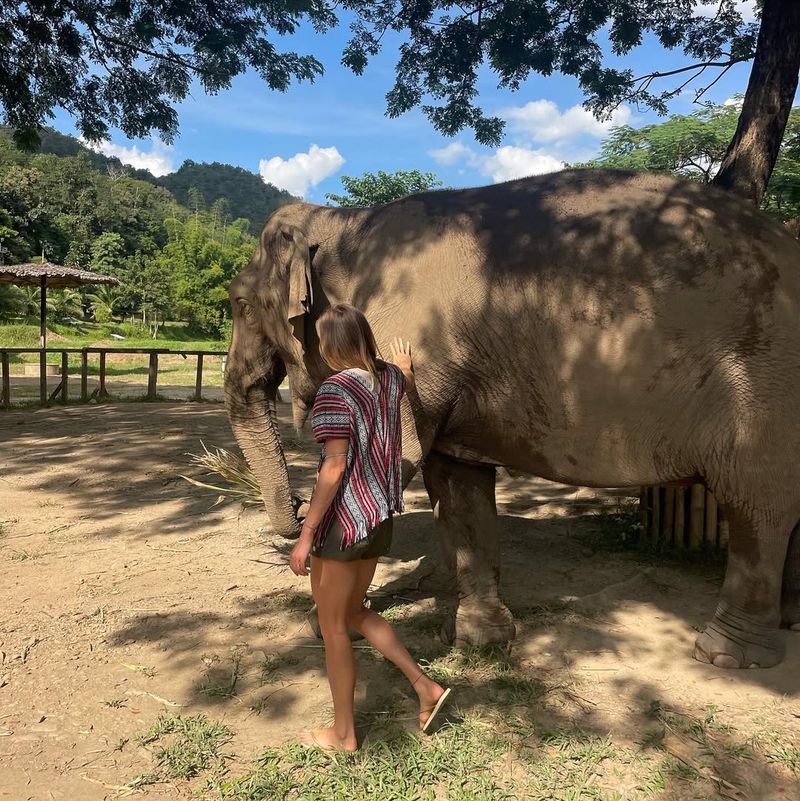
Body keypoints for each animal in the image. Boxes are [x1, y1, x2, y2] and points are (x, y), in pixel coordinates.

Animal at [222, 169, 800, 668]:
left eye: (239, 303)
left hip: (764, 386)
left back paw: (727, 653)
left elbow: (398, 464)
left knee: (758, 506)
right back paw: (789, 624)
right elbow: (459, 486)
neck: (345, 223)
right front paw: (478, 638)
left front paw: (326, 623)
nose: (299, 505)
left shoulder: (406, 342)